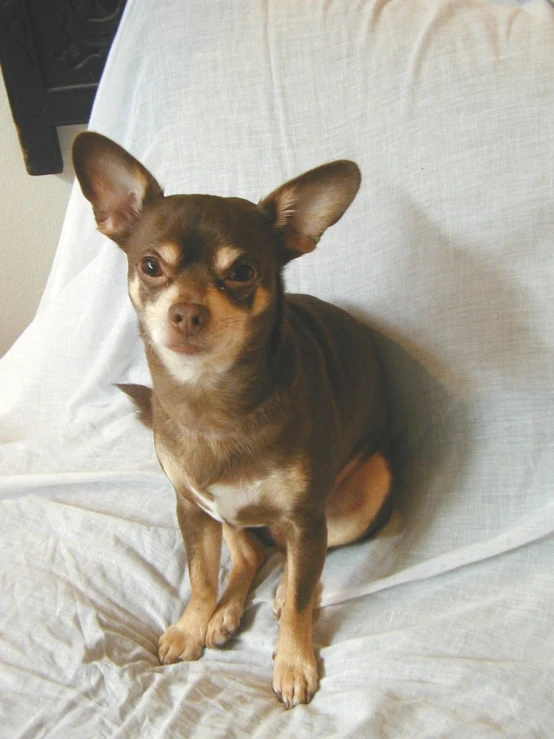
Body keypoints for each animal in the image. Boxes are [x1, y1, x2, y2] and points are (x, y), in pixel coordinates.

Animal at [73, 134, 390, 712]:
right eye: (150, 265)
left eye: (242, 272)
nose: (187, 312)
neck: (210, 399)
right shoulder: (190, 507)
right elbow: (200, 576)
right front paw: (193, 624)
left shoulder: (306, 517)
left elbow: (301, 590)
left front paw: (294, 660)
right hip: (218, 509)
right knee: (251, 551)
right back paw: (223, 615)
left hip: (366, 491)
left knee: (299, 564)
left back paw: (283, 595)